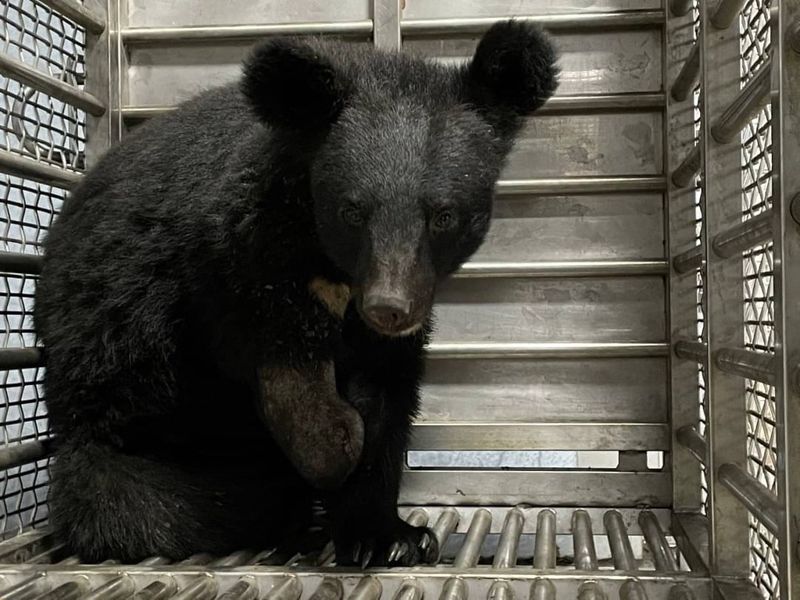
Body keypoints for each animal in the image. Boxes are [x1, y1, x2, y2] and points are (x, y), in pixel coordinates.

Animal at [33, 20, 558, 566]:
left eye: (443, 216)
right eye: (352, 211)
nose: (389, 307)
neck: (332, 270)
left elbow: (388, 396)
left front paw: (389, 536)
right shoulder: (235, 259)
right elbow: (281, 359)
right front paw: (336, 442)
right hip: (120, 369)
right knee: (142, 500)